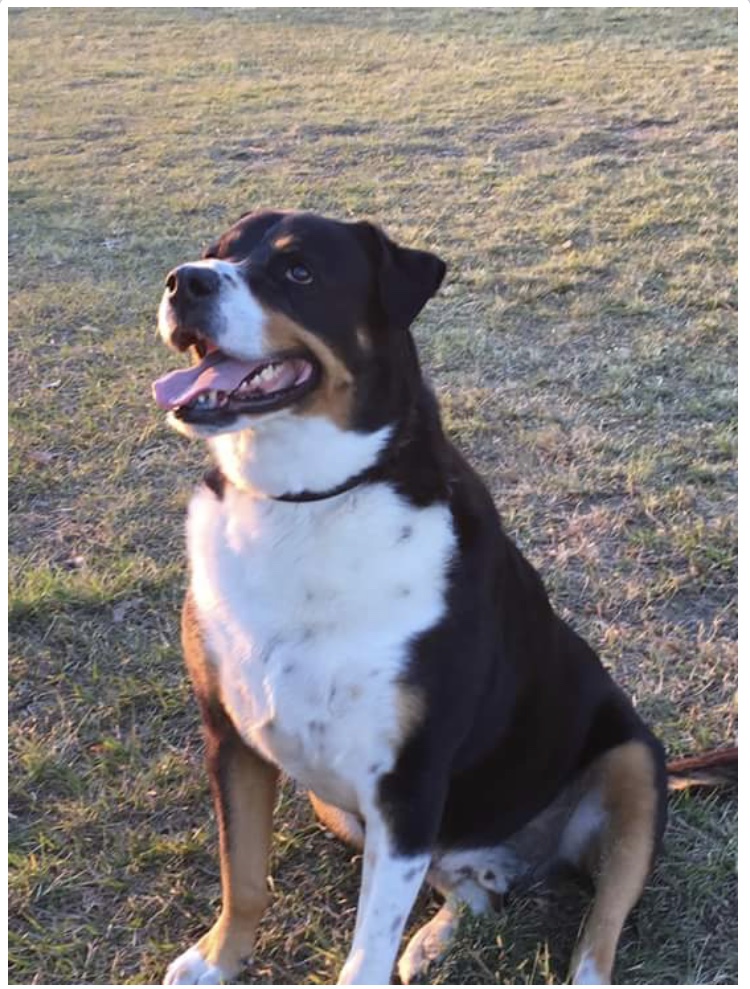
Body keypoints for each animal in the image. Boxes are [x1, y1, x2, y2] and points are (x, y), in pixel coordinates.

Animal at [153, 208, 668, 980]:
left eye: (298, 270)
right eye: (218, 251)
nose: (183, 281)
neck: (306, 502)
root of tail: (517, 849)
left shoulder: (410, 779)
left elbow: (366, 948)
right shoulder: (231, 737)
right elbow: (241, 872)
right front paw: (219, 959)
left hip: (633, 762)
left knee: (598, 932)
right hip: (337, 804)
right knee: (476, 887)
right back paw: (439, 933)